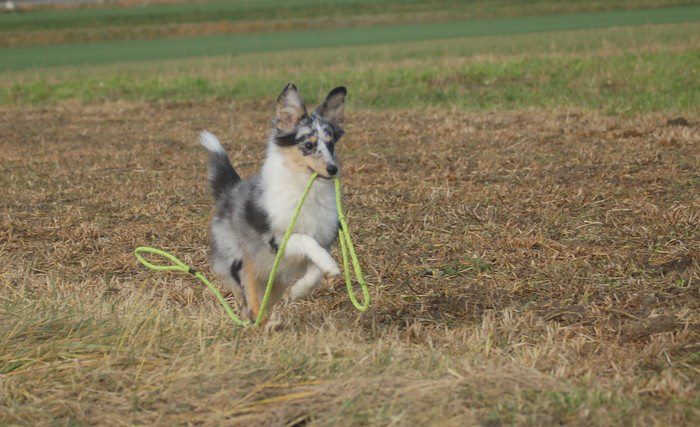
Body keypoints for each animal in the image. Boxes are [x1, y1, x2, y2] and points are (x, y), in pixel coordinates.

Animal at [198, 83, 346, 322]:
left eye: (331, 145)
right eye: (308, 145)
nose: (333, 169)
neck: (305, 190)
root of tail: (230, 191)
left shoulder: (324, 238)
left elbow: (316, 270)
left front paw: (302, 288)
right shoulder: (275, 238)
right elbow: (304, 238)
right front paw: (329, 265)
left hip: (276, 279)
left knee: (266, 302)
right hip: (242, 263)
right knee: (250, 299)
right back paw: (256, 321)